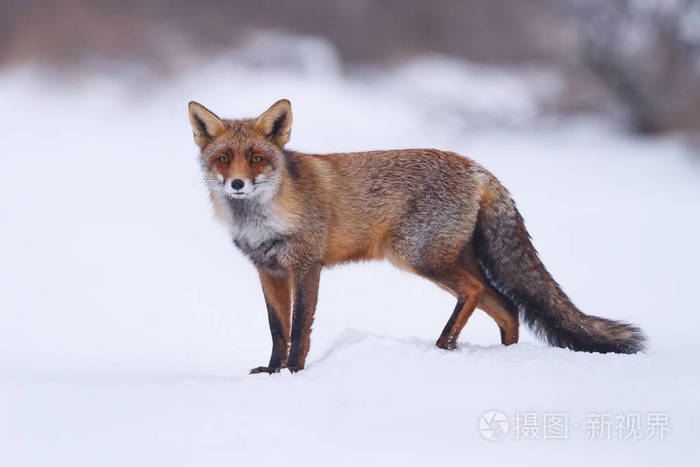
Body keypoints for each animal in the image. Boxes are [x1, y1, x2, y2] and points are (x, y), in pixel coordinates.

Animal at [186, 100, 644, 374]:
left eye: (257, 158)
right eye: (223, 159)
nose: (238, 184)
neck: (262, 219)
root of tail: (478, 168)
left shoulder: (306, 266)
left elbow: (299, 329)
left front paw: (295, 373)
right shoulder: (268, 270)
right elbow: (276, 329)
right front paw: (272, 371)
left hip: (420, 256)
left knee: (477, 292)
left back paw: (444, 345)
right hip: (451, 258)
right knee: (508, 307)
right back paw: (503, 358)